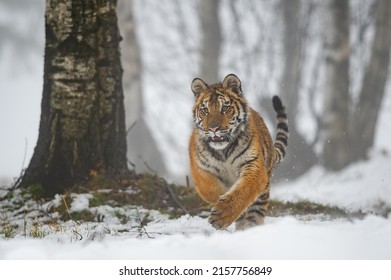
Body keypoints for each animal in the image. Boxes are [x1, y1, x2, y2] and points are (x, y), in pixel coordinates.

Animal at [188, 73, 290, 231]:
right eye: (205, 110)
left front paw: (221, 215)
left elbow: (243, 191)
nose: (213, 129)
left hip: (263, 192)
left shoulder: (253, 165)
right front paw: (221, 202)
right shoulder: (200, 170)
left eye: (225, 108)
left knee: (254, 216)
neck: (223, 151)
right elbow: (212, 190)